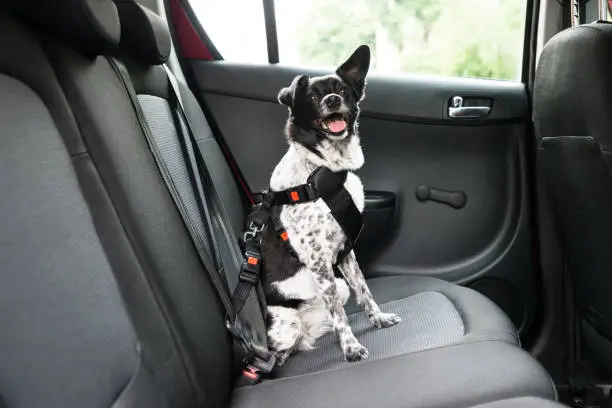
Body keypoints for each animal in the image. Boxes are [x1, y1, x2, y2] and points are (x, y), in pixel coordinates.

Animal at [262, 45, 402, 366]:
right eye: (313, 98)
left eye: (342, 90)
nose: (333, 100)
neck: (323, 170)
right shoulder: (318, 261)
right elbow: (340, 315)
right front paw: (350, 347)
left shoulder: (345, 252)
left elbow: (364, 289)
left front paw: (378, 319)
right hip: (288, 324)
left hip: (337, 287)